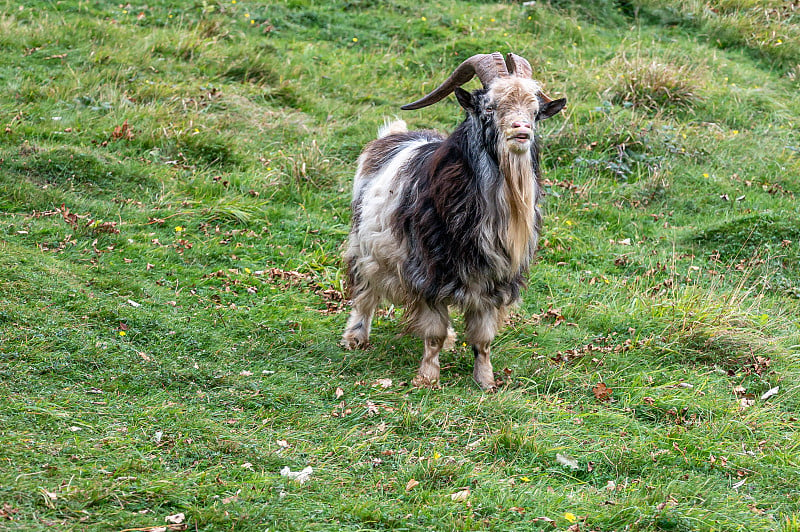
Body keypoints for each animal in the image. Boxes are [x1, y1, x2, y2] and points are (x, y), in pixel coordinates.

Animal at [340, 52, 564, 388]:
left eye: (535, 112)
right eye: (489, 107)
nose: (521, 130)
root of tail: (393, 135)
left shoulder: (493, 281)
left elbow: (483, 339)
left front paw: (486, 382)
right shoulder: (428, 273)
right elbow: (432, 332)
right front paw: (427, 378)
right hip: (364, 244)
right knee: (365, 291)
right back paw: (355, 338)